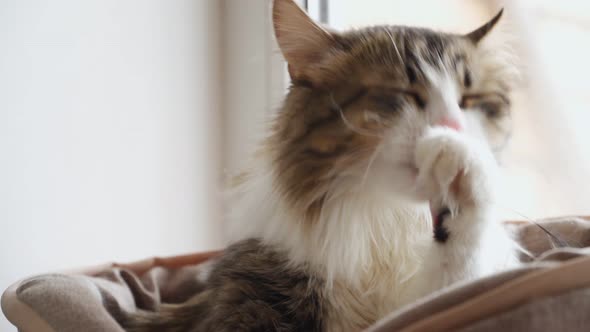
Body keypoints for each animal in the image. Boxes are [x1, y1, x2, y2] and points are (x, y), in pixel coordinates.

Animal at [121, 1, 524, 330]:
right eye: (401, 95)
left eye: (470, 100)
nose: (451, 127)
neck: (384, 222)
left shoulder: (440, 296)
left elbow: (460, 269)